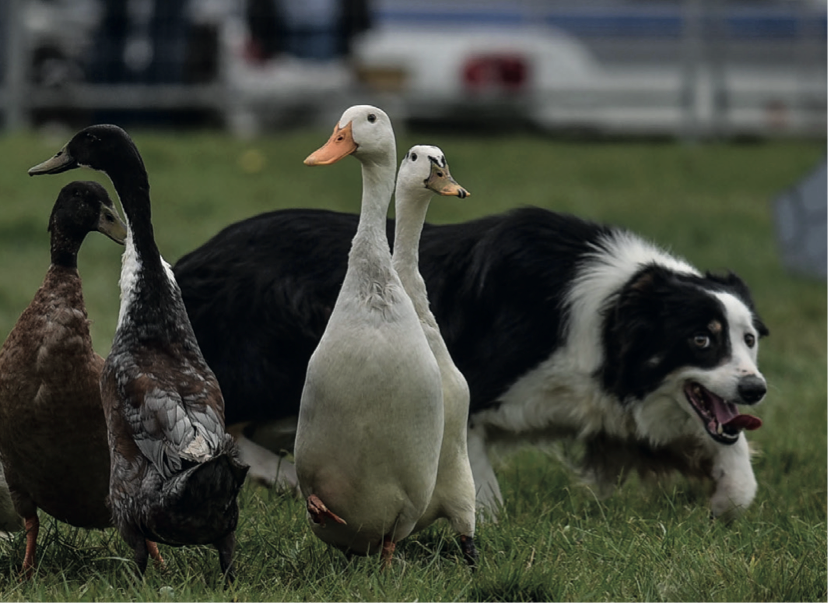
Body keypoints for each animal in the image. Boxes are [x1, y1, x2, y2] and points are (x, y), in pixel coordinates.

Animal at [172, 205, 772, 520]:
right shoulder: (474, 390)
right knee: (222, 423)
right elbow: (479, 488)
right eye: (701, 340)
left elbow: (732, 457)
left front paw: (726, 501)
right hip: (279, 360)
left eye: (750, 339)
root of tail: (189, 260)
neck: (611, 312)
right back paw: (285, 477)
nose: (756, 390)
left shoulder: (616, 412)